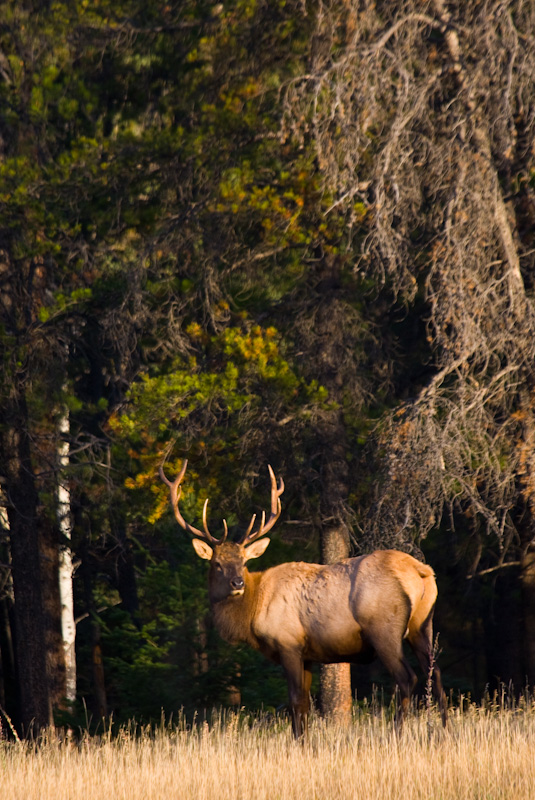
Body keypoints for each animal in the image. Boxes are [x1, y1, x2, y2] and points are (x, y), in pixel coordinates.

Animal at [159, 460, 448, 736]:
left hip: (384, 629)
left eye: (243, 562)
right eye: (217, 563)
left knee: (407, 678)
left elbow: (296, 702)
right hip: (422, 625)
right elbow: (307, 705)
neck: (254, 611)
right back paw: (444, 732)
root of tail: (421, 571)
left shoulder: (288, 643)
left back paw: (397, 734)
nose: (237, 582)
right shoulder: (308, 654)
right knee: (435, 672)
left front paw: (299, 743)